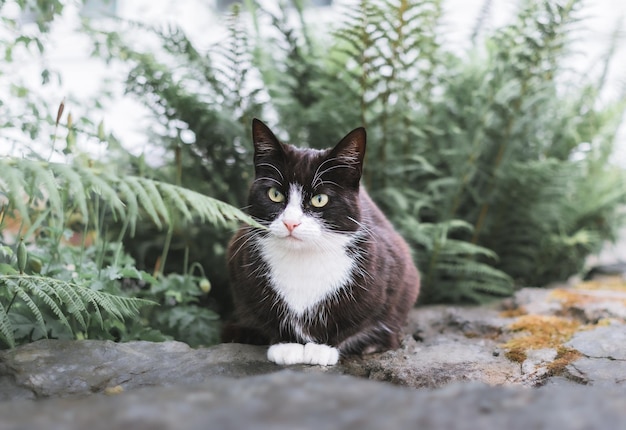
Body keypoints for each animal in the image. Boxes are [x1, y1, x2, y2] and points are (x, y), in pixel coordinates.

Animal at [224, 118, 420, 366]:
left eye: (320, 199)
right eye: (275, 194)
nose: (290, 223)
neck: (303, 259)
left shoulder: (391, 271)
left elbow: (357, 318)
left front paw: (322, 348)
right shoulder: (240, 267)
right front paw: (286, 345)